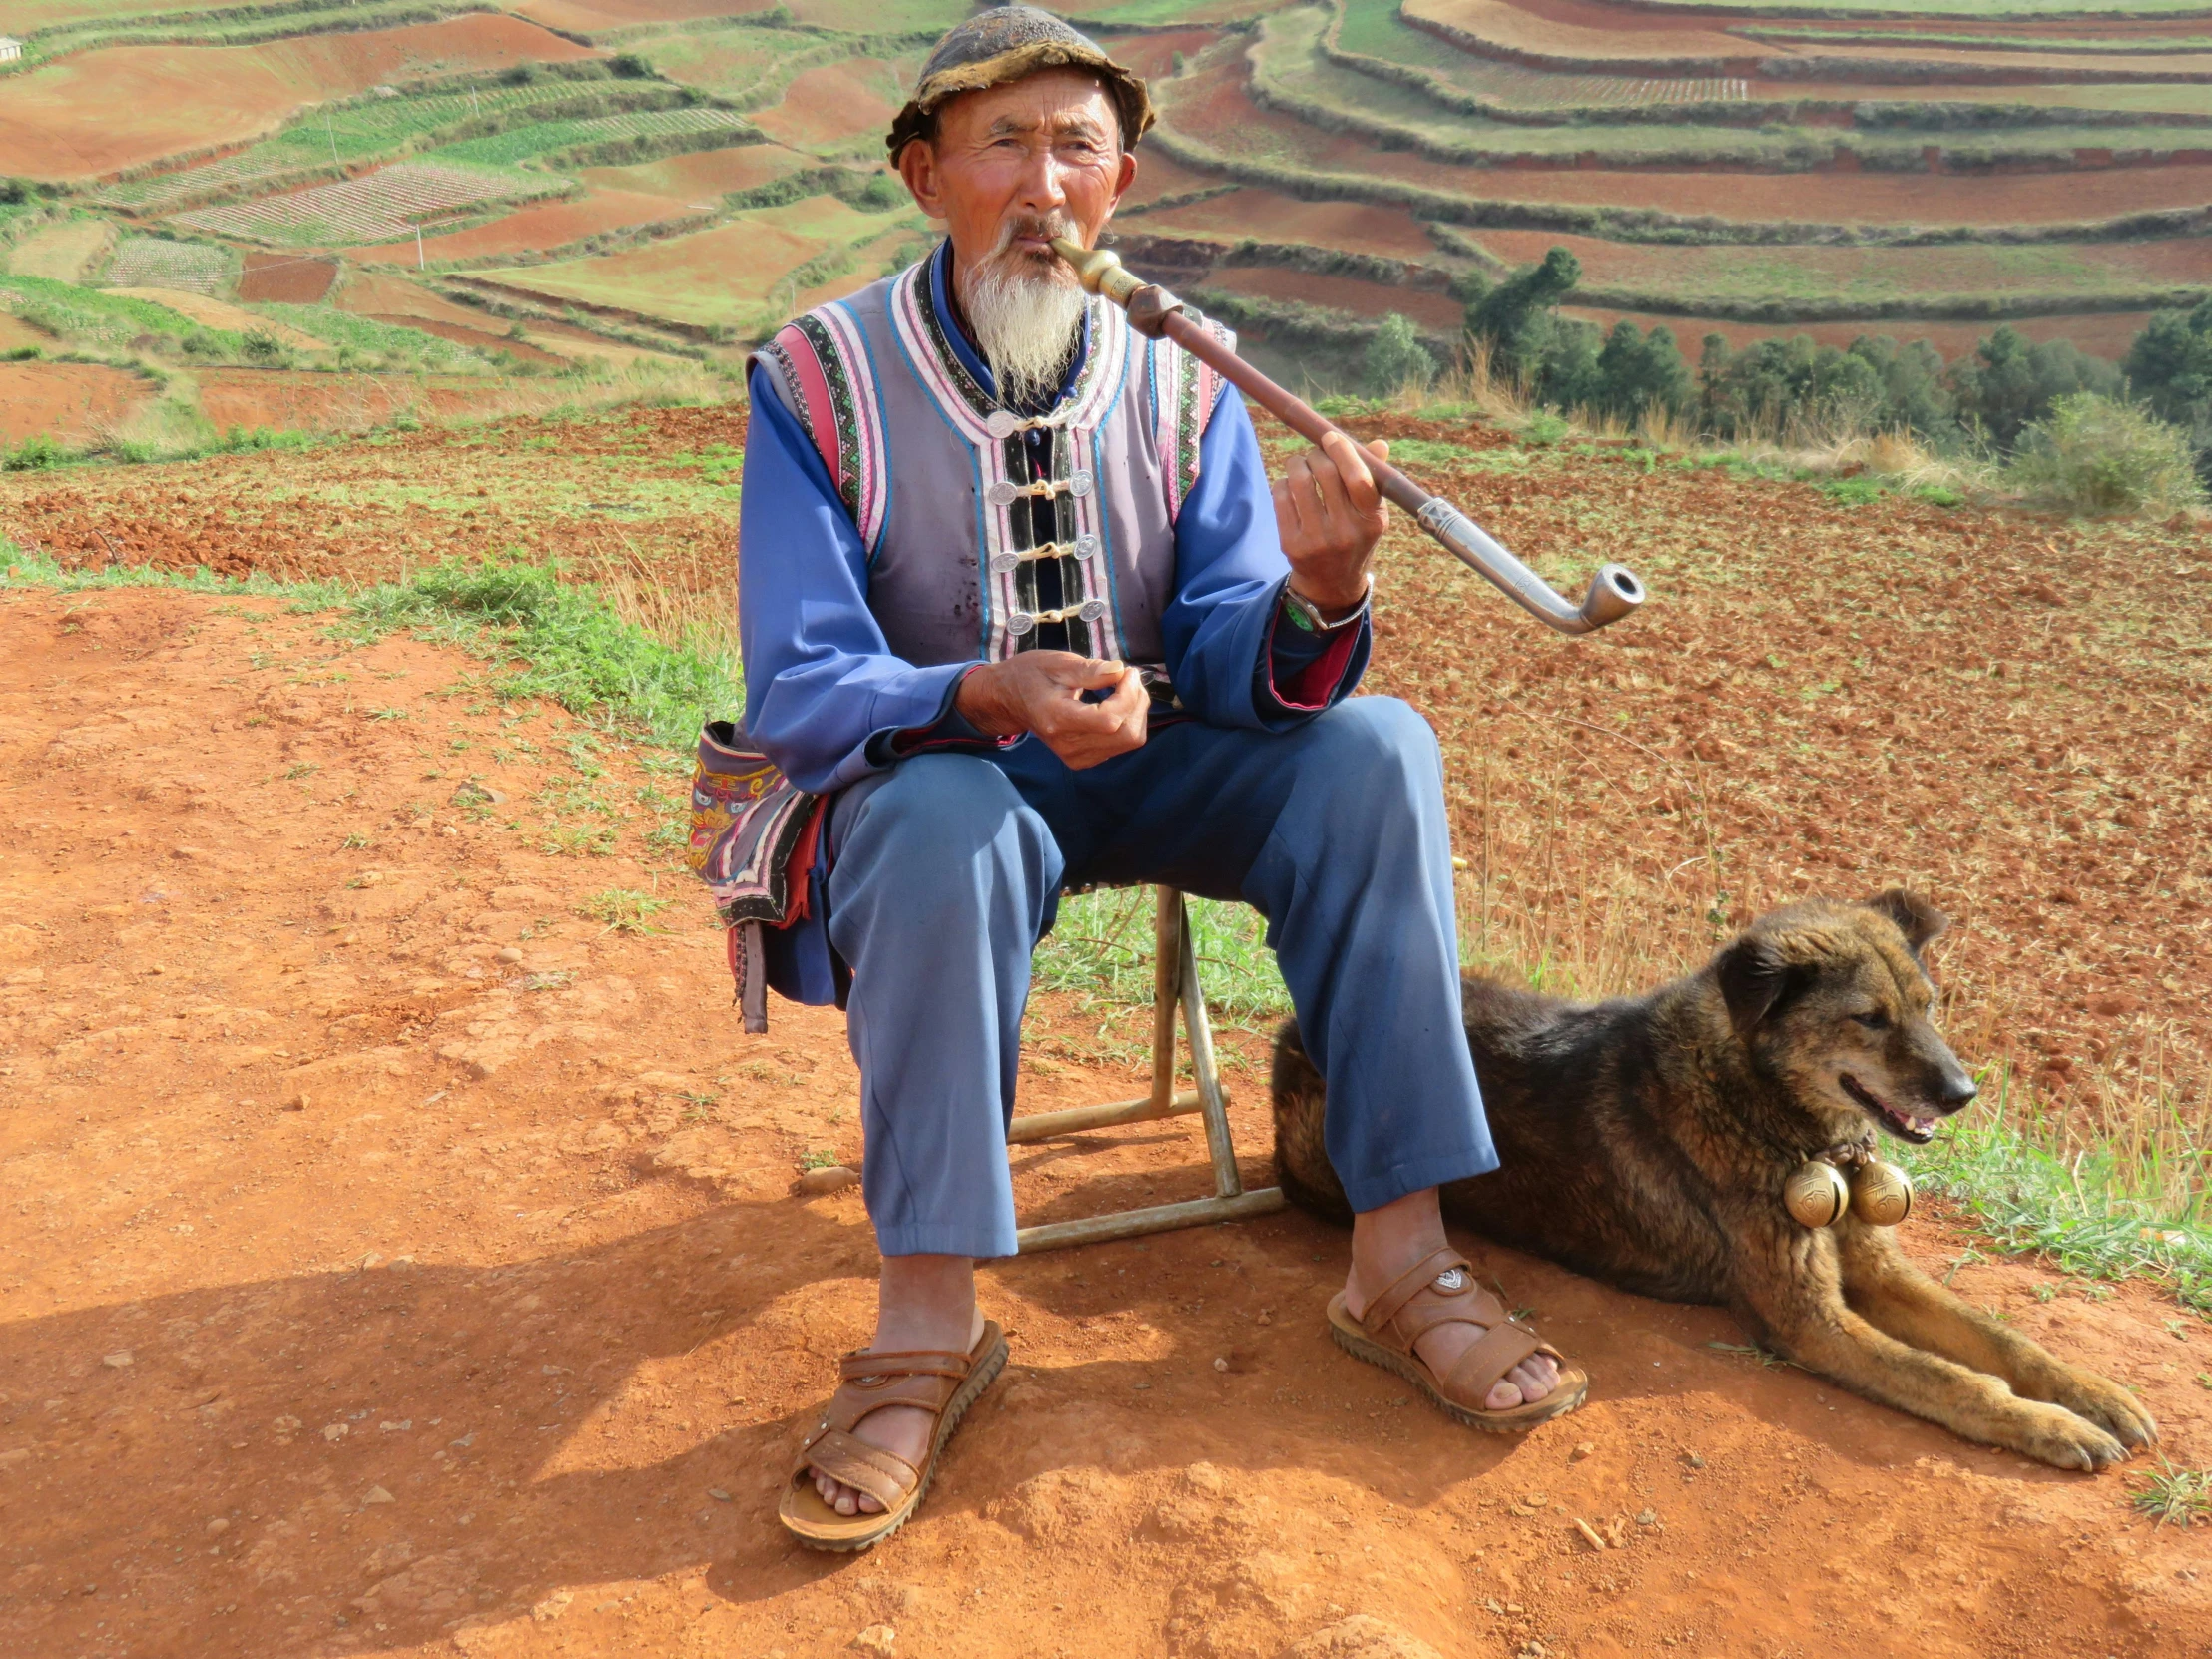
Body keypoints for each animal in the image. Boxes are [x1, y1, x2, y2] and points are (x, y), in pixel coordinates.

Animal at [1283, 888, 2158, 1477]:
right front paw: (2052, 1426)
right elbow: (1954, 1377)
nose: (1964, 1093)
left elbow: (2001, 1337)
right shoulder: (1807, 1321)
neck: (1764, 1104)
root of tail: (1291, 1032)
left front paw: (2093, 1394)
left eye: (1928, 1005)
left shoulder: (1876, 1269)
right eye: (1868, 1019)